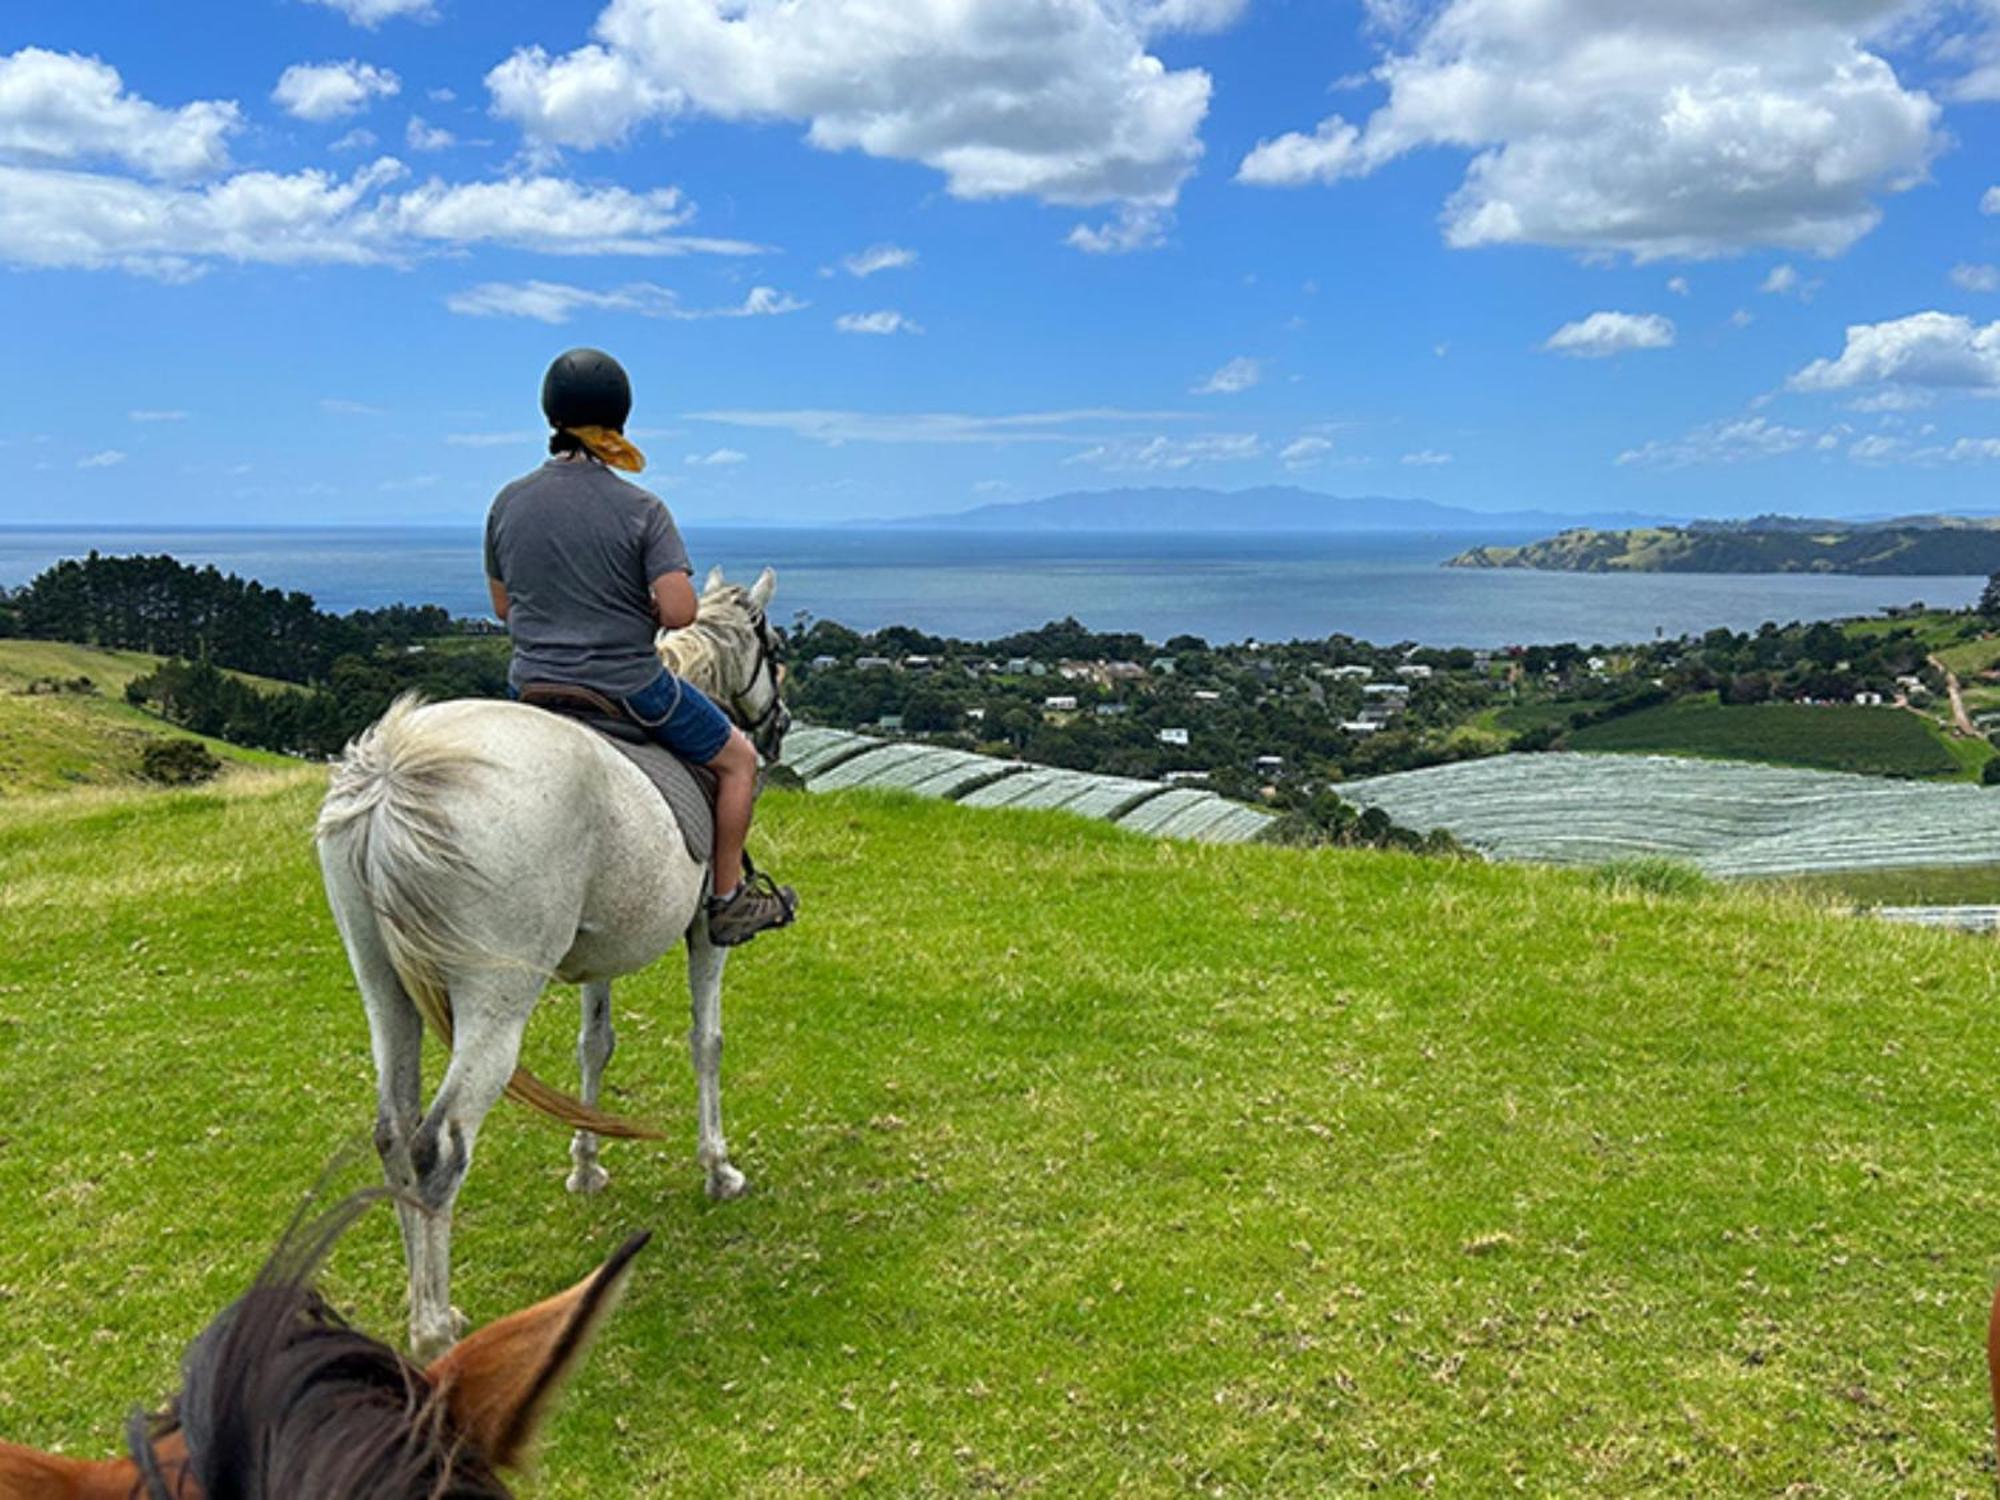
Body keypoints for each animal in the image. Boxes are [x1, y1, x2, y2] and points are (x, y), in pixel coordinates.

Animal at [316, 568, 784, 1360]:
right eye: (775, 647)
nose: (777, 729)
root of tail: (392, 778)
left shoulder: (601, 953)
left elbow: (595, 1044)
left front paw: (586, 1165)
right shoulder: (705, 934)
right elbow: (707, 1042)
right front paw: (718, 1168)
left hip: (382, 982)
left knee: (393, 1131)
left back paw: (426, 1307)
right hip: (496, 999)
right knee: (438, 1148)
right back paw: (434, 1333)